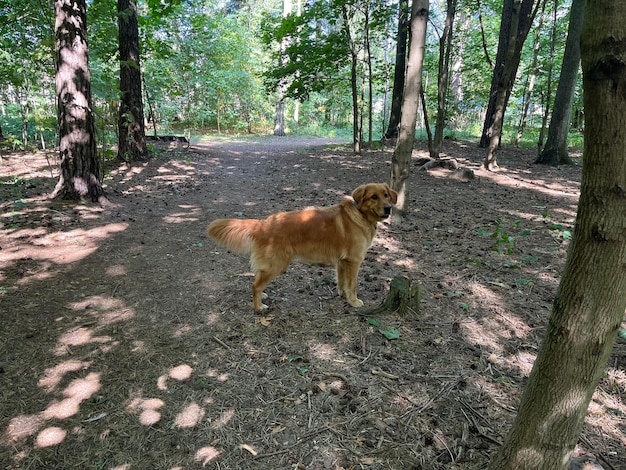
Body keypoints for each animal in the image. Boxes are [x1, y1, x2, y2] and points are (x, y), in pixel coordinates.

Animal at [207, 184, 398, 312]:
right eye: (374, 197)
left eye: (386, 195)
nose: (388, 209)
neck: (360, 214)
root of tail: (264, 223)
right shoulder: (354, 261)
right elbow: (353, 284)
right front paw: (353, 301)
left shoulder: (342, 261)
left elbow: (342, 281)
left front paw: (342, 294)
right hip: (276, 264)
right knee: (255, 285)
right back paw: (259, 306)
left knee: (257, 279)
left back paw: (262, 296)